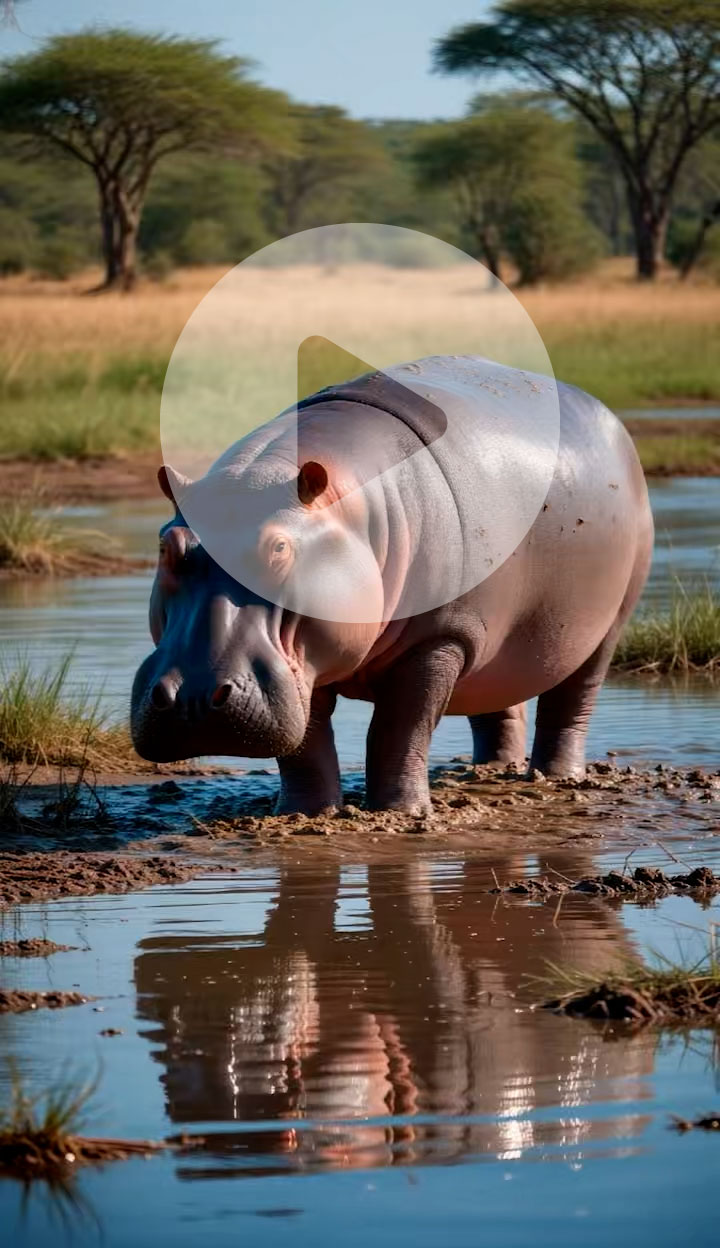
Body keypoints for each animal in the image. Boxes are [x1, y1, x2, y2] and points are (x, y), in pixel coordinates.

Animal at [131, 355, 653, 814]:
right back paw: (488, 771)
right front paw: (304, 813)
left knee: (572, 702)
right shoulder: (311, 659)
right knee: (497, 703)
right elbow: (306, 745)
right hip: (494, 638)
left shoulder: (439, 638)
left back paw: (557, 778)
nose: (193, 700)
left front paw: (402, 813)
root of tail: (604, 412)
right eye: (167, 544)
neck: (354, 510)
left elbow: (399, 729)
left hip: (605, 625)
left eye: (278, 547)